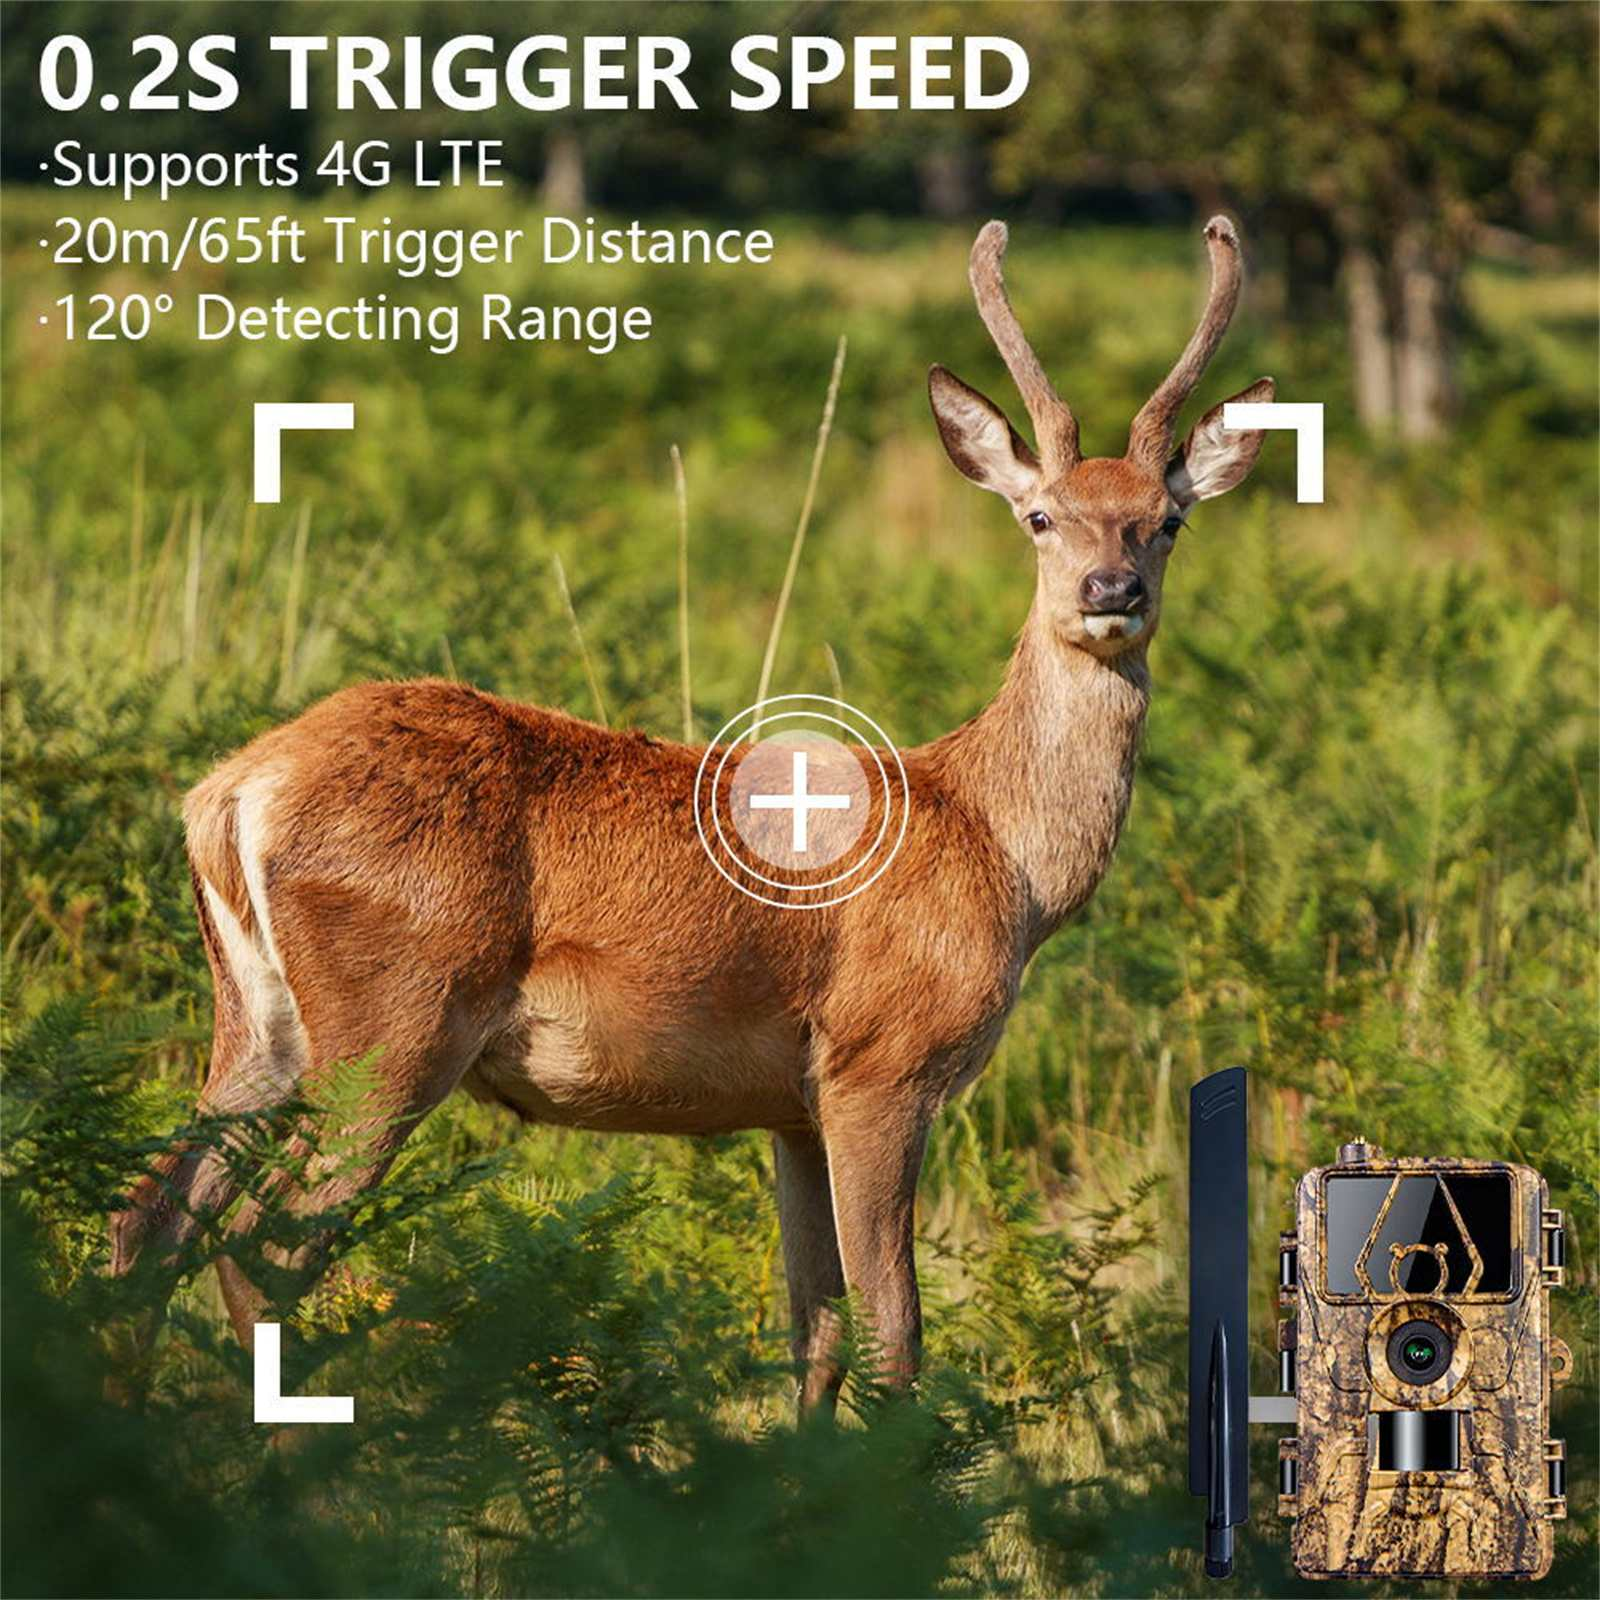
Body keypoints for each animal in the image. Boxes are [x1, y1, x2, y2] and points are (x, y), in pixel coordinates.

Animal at [109, 216, 1273, 1411]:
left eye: (1166, 522)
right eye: (1040, 516)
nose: (1110, 592)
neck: (1005, 857)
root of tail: (231, 791)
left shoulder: (793, 1103)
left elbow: (815, 1330)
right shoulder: (880, 1061)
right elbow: (893, 1333)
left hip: (259, 1019)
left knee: (149, 1218)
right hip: (397, 1010)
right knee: (266, 1245)